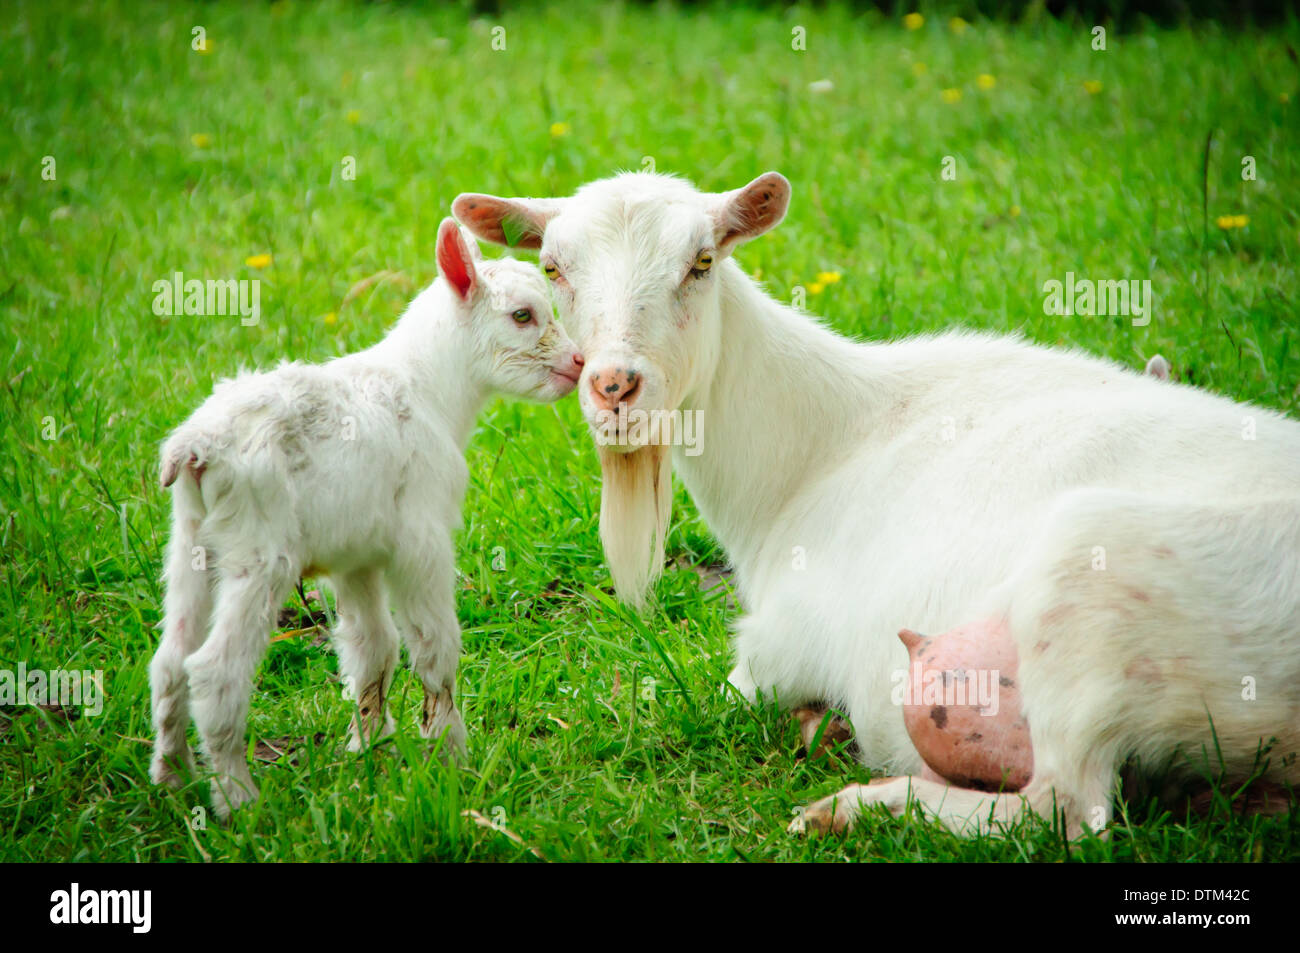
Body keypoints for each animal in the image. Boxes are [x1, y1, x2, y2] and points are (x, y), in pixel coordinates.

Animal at [149, 219, 582, 816]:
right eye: (523, 315)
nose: (578, 364)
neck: (427, 389)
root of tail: (194, 449)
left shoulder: (356, 557)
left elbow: (373, 649)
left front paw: (371, 746)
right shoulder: (421, 540)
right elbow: (433, 645)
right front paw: (451, 755)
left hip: (191, 543)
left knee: (169, 661)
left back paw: (172, 779)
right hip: (259, 553)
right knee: (214, 671)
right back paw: (238, 798)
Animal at [454, 169, 1300, 832]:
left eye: (701, 262)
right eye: (553, 268)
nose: (615, 385)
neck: (822, 445)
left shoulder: (775, 646)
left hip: (1090, 584)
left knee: (1064, 805)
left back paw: (855, 804)